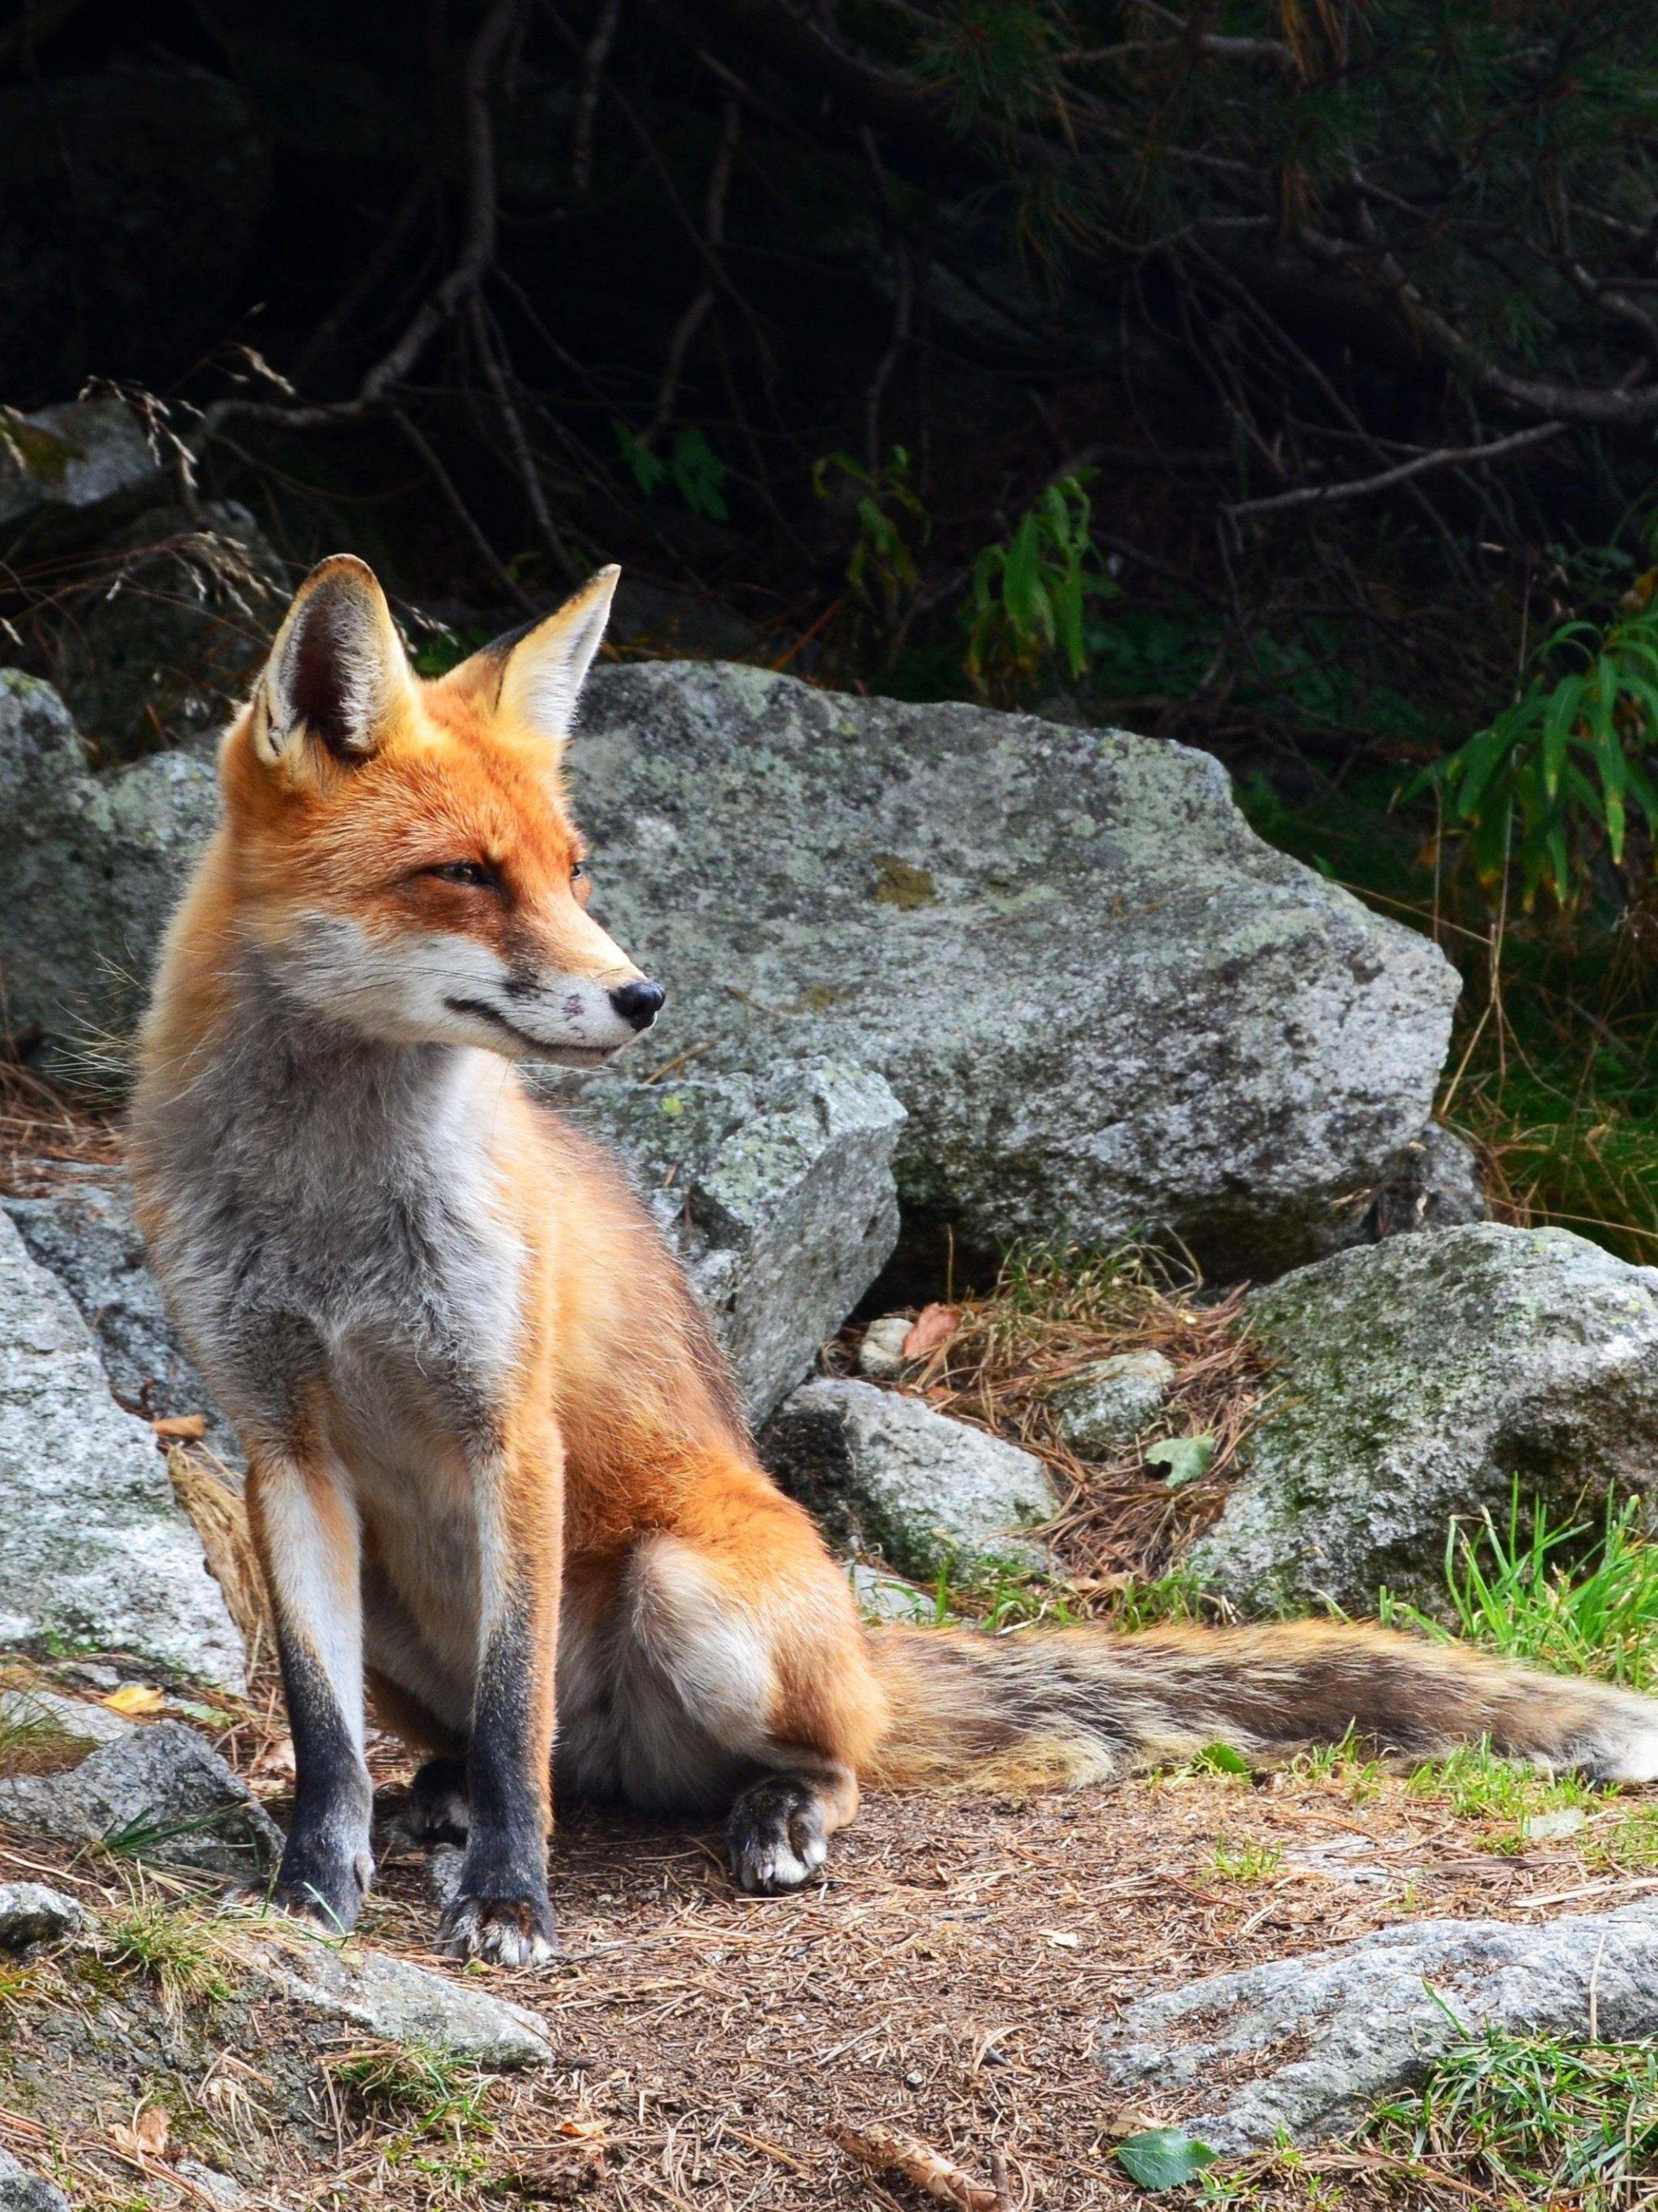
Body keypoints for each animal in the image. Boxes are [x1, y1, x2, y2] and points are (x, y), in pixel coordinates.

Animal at [128, 553, 1658, 1966]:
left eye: (573, 871)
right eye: (461, 874)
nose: (642, 995)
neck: (330, 1214)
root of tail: (858, 1652)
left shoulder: (507, 1431)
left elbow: (515, 1722)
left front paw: (510, 1899)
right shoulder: (280, 1445)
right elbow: (323, 1736)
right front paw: (312, 1891)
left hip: (693, 1595)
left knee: (779, 1761)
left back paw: (771, 1814)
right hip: (392, 1596)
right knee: (526, 1755)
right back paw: (436, 1799)